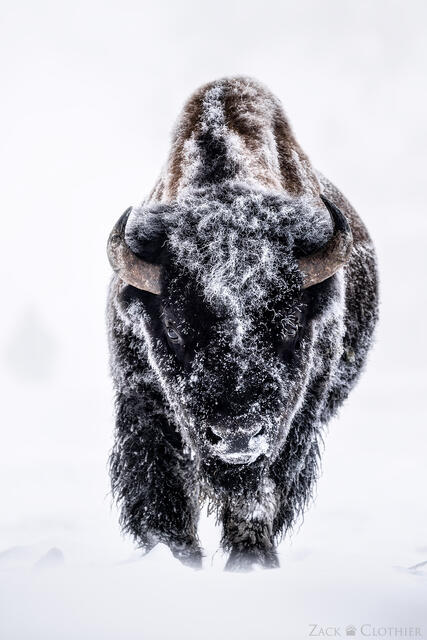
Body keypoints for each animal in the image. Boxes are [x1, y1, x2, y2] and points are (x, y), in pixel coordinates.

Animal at [106, 77, 378, 570]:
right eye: (175, 329)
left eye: (289, 326)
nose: (236, 435)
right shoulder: (143, 403)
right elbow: (162, 493)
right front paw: (177, 557)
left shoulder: (295, 421)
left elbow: (257, 496)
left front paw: (251, 561)